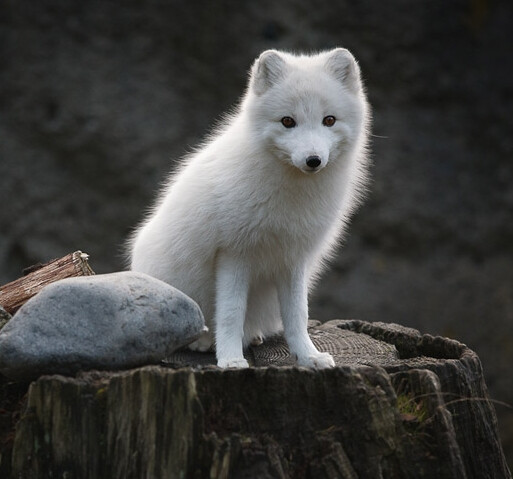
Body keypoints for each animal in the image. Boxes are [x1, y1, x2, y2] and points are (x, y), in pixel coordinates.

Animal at [128, 48, 368, 370]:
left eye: (329, 120)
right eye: (287, 121)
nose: (313, 160)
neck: (290, 196)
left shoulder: (293, 258)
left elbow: (298, 315)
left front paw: (308, 356)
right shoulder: (233, 253)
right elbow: (231, 312)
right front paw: (230, 359)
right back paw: (206, 341)